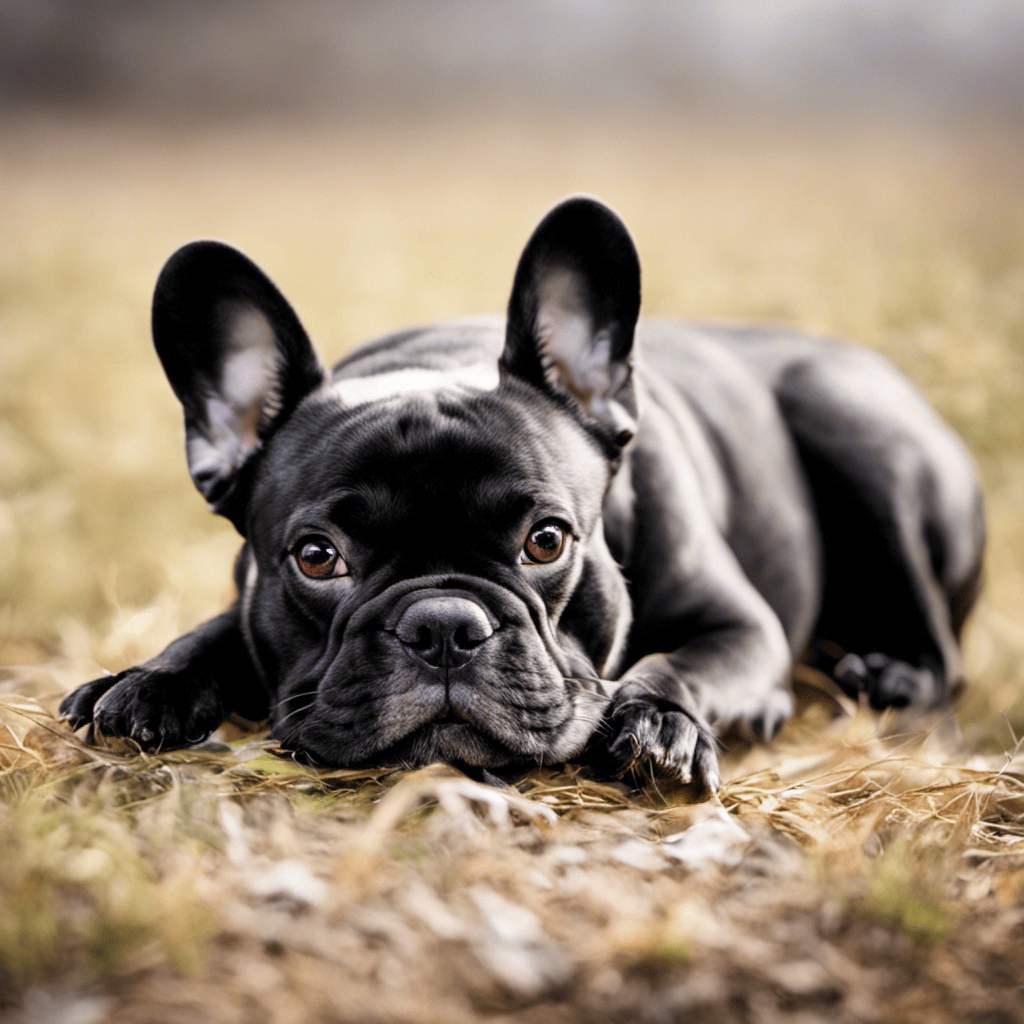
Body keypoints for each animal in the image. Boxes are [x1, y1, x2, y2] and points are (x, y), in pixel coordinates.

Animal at [59, 199, 987, 790]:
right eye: (317, 559)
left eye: (547, 540)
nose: (442, 625)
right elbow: (217, 631)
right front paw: (147, 680)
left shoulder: (741, 626)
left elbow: (682, 663)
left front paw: (659, 722)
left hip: (852, 426)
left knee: (945, 654)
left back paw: (888, 675)